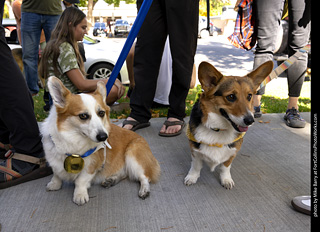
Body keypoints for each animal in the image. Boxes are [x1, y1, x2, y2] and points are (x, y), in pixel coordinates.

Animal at [40, 76, 160, 205]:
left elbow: (80, 181)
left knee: (144, 177)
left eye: (101, 113)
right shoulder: (54, 160)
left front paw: (80, 195)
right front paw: (54, 184)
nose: (104, 137)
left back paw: (144, 190)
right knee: (124, 173)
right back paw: (111, 180)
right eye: (83, 116)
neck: (72, 140)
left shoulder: (91, 166)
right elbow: (56, 173)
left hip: (132, 156)